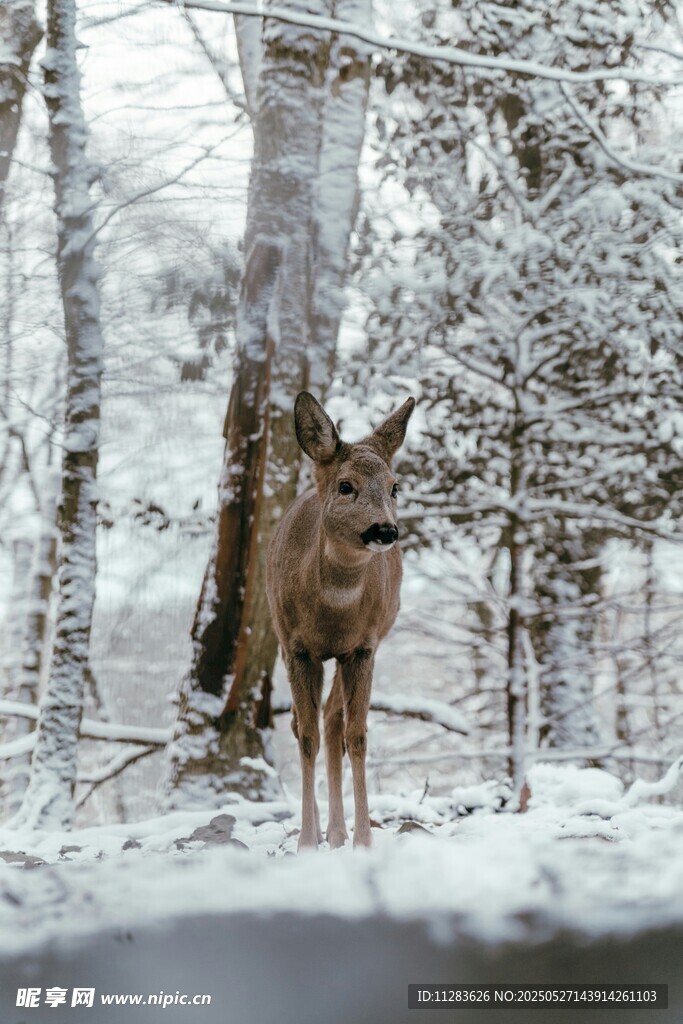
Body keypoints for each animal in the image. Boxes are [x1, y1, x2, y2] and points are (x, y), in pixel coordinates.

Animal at [266, 391, 415, 850]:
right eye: (346, 485)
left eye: (394, 486)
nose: (386, 530)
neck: (333, 611)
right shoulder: (296, 646)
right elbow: (306, 735)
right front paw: (304, 843)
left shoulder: (365, 646)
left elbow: (357, 735)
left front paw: (363, 840)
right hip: (283, 641)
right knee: (303, 724)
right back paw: (322, 831)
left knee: (333, 721)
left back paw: (337, 832)